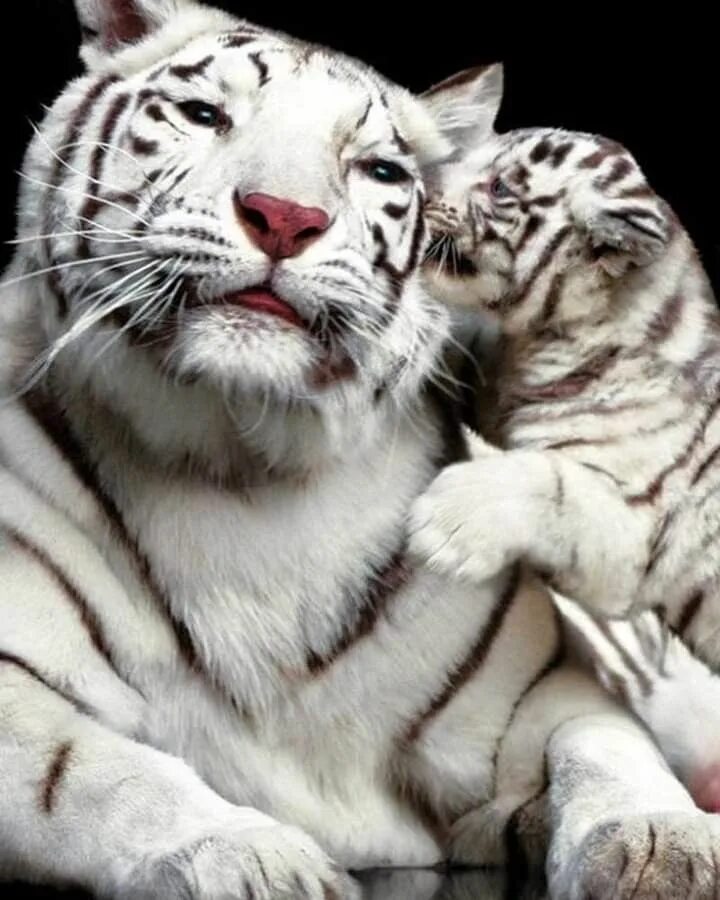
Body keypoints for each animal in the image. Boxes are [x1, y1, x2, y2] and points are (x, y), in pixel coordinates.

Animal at [411, 63, 720, 817]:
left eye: (499, 187)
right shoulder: (496, 379)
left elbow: (544, 482)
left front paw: (446, 524)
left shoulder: (630, 533)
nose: (425, 191)